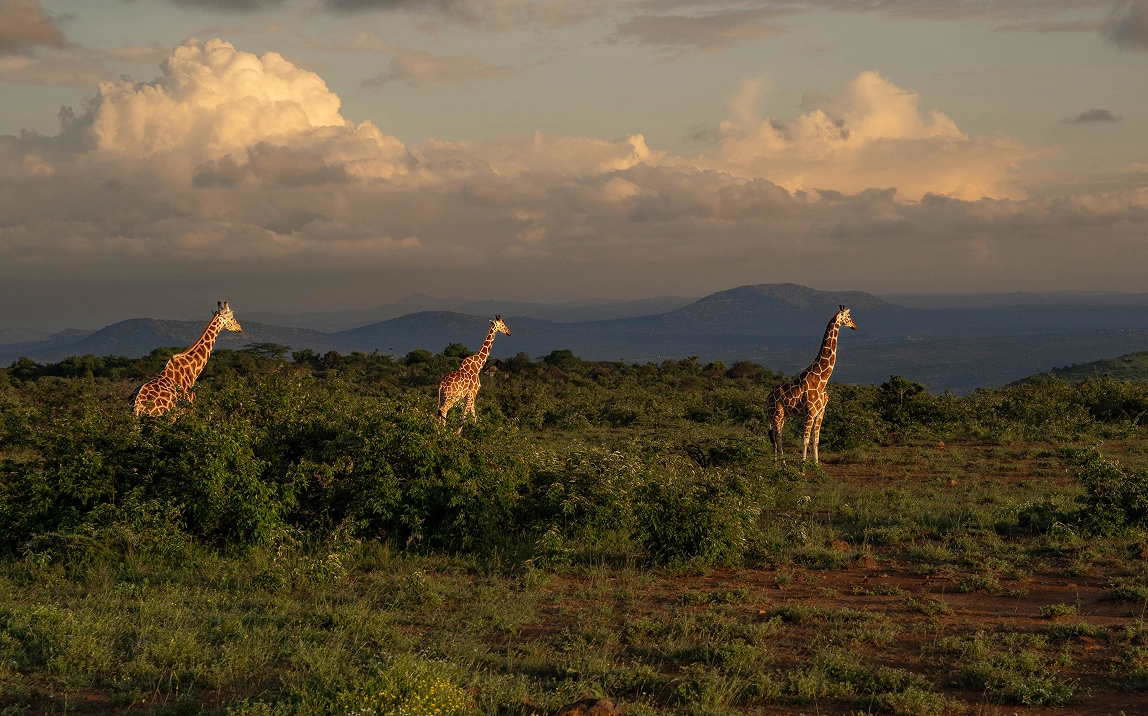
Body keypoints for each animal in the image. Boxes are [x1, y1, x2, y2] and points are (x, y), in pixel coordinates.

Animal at [766, 305, 857, 464]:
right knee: (778, 437)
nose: (854, 326)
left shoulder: (820, 412)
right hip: (776, 414)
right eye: (849, 316)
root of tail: (767, 397)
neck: (822, 379)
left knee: (776, 437)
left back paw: (779, 463)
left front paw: (816, 464)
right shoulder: (809, 412)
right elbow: (805, 440)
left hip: (783, 416)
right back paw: (780, 464)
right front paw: (803, 466)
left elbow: (816, 440)